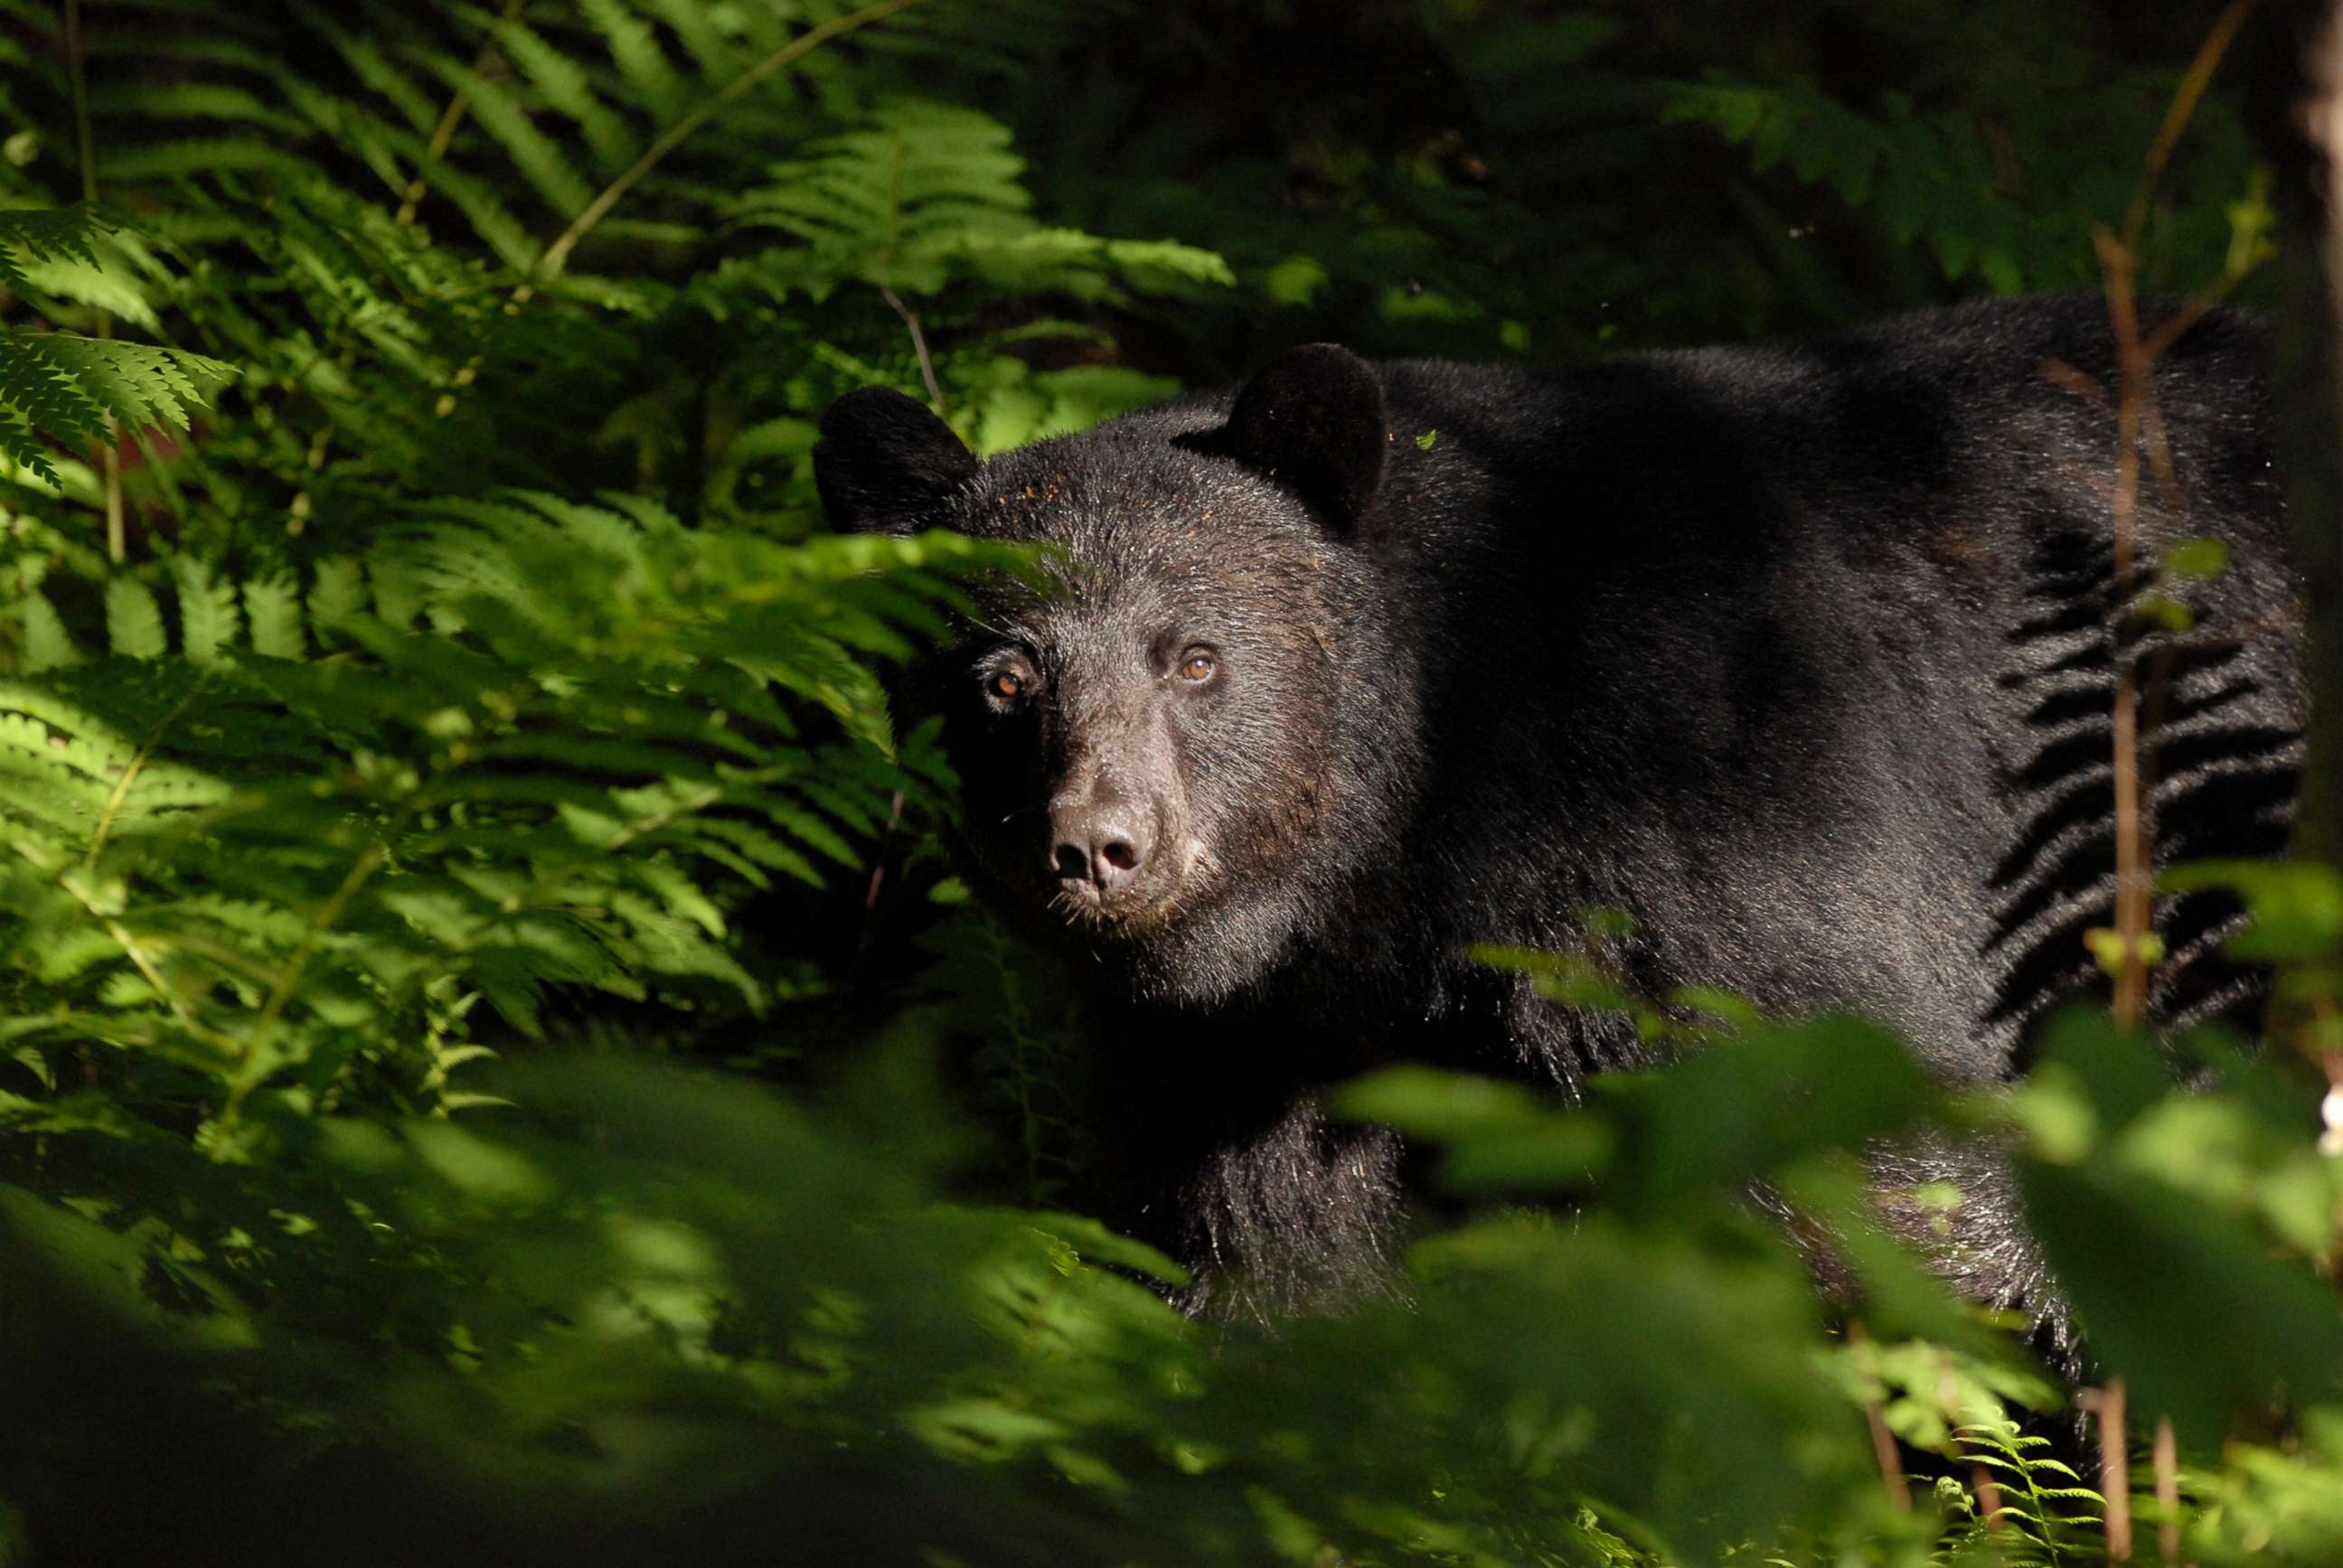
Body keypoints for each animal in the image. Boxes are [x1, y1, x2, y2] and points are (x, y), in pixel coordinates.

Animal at [815, 293, 2296, 1321]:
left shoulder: (1739, 855)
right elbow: (1266, 1252)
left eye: (1195, 658)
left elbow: (1894, 1181)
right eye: (1001, 678)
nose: (1099, 846)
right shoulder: (1251, 1051)